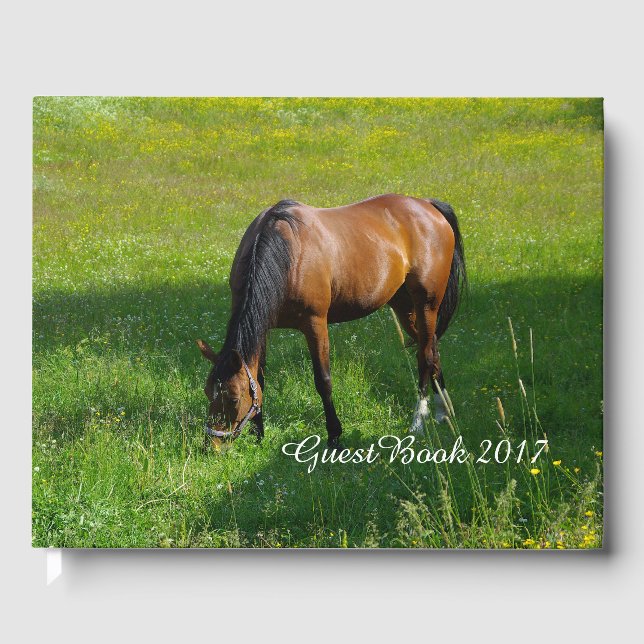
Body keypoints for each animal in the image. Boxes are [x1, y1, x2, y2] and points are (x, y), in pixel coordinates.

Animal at [197, 193, 466, 448]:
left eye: (233, 398)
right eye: (208, 392)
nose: (213, 445)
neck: (287, 253)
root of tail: (427, 205)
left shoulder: (315, 324)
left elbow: (323, 381)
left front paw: (335, 436)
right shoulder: (263, 328)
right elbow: (260, 377)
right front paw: (258, 435)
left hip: (426, 305)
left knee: (425, 356)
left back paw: (418, 422)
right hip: (403, 306)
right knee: (431, 348)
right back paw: (442, 412)